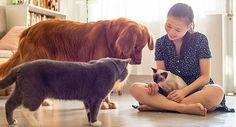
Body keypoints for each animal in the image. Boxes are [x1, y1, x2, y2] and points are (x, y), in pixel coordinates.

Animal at [0, 57, 130, 127]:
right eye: (127, 72)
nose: (126, 79)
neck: (111, 65)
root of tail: (20, 66)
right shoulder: (95, 98)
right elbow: (94, 110)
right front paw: (95, 122)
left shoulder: (87, 99)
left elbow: (88, 111)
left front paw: (90, 122)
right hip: (35, 93)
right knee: (25, 109)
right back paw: (36, 123)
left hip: (20, 91)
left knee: (9, 104)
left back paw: (12, 122)